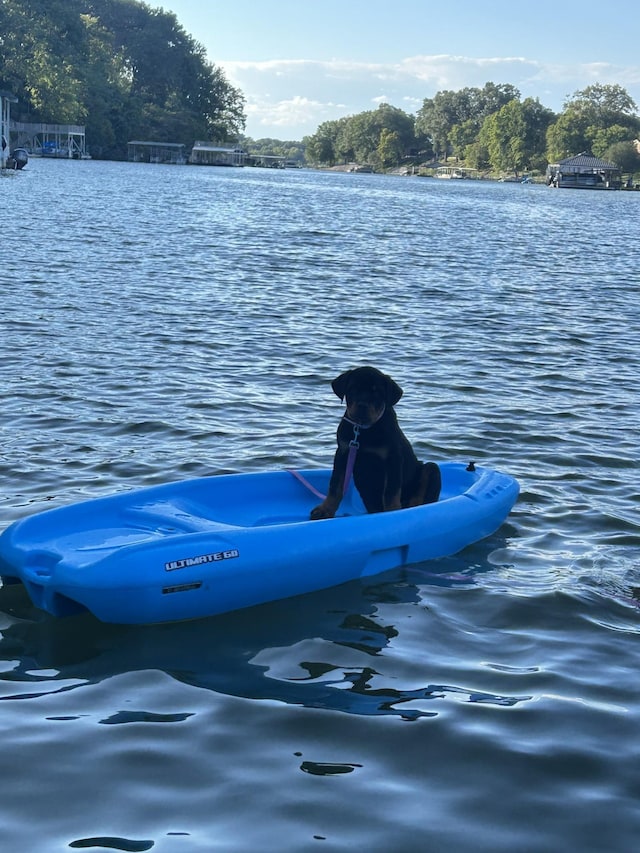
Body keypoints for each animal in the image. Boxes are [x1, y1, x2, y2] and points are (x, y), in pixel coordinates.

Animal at [310, 362, 440, 516]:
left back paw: (412, 507)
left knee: (423, 494)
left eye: (376, 392)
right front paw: (325, 510)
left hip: (432, 469)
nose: (362, 405)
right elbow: (335, 485)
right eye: (353, 389)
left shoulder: (393, 459)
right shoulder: (343, 453)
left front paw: (393, 511)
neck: (363, 429)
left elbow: (391, 491)